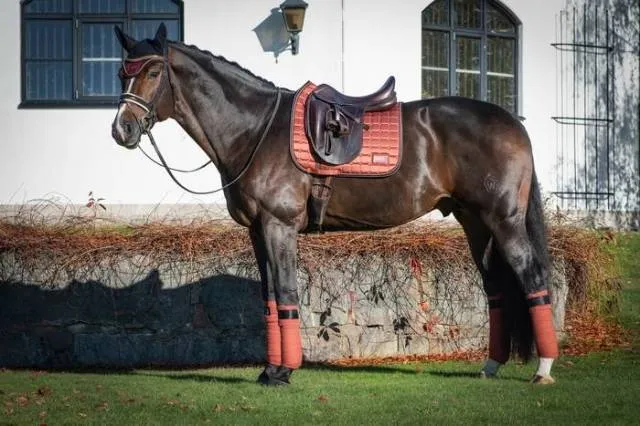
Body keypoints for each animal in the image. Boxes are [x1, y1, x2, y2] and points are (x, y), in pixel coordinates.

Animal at [111, 24, 559, 386]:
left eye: (153, 72)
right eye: (122, 73)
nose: (122, 130)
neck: (256, 130)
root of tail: (512, 123)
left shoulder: (279, 226)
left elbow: (287, 292)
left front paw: (284, 372)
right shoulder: (257, 231)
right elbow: (269, 298)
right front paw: (269, 370)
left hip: (503, 221)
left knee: (534, 278)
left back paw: (543, 369)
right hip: (475, 223)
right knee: (496, 287)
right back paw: (491, 367)